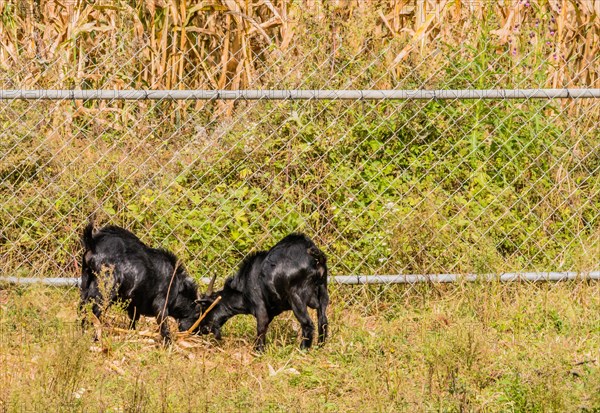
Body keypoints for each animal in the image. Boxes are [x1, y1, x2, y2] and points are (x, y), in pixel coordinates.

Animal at [197, 233, 328, 350]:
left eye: (205, 308)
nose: (200, 329)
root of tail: (313, 256)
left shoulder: (260, 306)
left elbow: (261, 328)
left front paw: (258, 351)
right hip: (323, 291)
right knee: (323, 321)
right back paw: (319, 347)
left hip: (296, 298)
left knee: (307, 324)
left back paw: (302, 350)